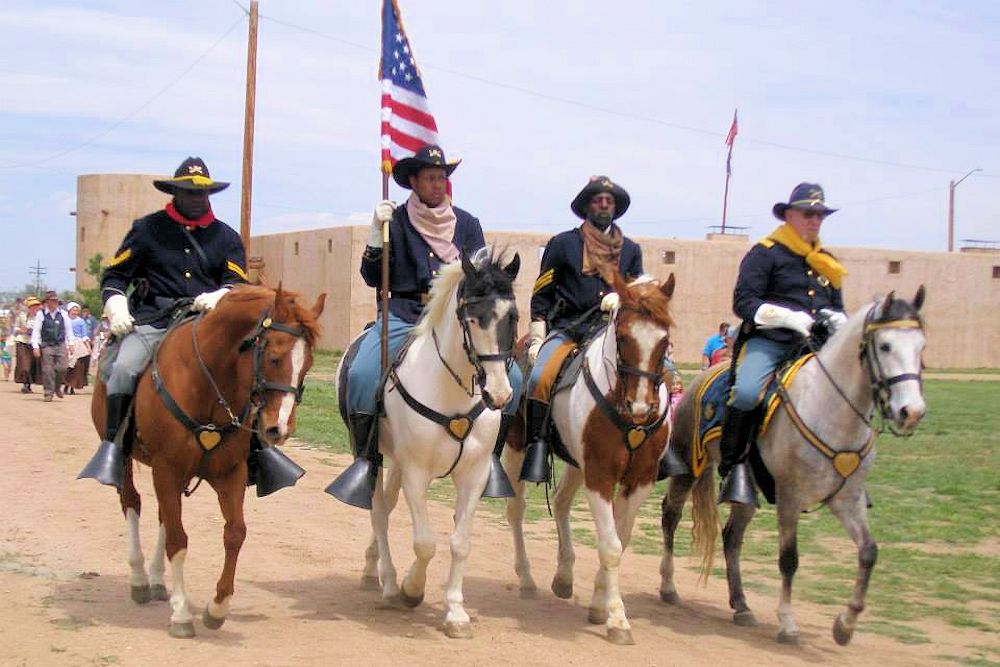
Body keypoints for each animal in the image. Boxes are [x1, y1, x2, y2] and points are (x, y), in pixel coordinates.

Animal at [90, 284, 324, 640]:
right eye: (274, 357)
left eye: (308, 363)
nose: (279, 429)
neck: (206, 382)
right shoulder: (167, 469)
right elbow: (178, 540)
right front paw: (182, 614)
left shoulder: (229, 473)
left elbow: (235, 533)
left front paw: (217, 608)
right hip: (131, 462)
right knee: (132, 502)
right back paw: (140, 579)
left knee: (163, 515)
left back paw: (157, 580)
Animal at [340, 249, 520, 636]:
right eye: (472, 318)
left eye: (512, 317)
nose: (499, 394)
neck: (451, 391)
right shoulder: (416, 473)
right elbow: (425, 543)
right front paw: (412, 588)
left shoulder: (474, 475)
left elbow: (460, 543)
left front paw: (455, 611)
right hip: (373, 455)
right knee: (379, 513)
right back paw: (389, 582)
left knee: (386, 508)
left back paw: (372, 568)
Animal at [504, 272, 676, 648]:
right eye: (623, 337)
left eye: (664, 340)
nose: (641, 406)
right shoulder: (600, 474)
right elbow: (610, 545)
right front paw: (617, 619)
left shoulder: (639, 479)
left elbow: (621, 540)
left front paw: (599, 603)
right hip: (517, 448)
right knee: (516, 510)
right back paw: (525, 578)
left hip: (575, 462)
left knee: (561, 502)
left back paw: (564, 575)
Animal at [656, 288, 928, 648]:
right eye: (885, 346)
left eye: (922, 346)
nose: (911, 411)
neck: (830, 409)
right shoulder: (790, 496)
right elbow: (789, 559)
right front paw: (787, 623)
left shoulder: (847, 499)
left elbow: (869, 552)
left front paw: (845, 625)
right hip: (688, 467)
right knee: (671, 516)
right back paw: (668, 586)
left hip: (746, 486)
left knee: (731, 536)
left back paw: (741, 604)